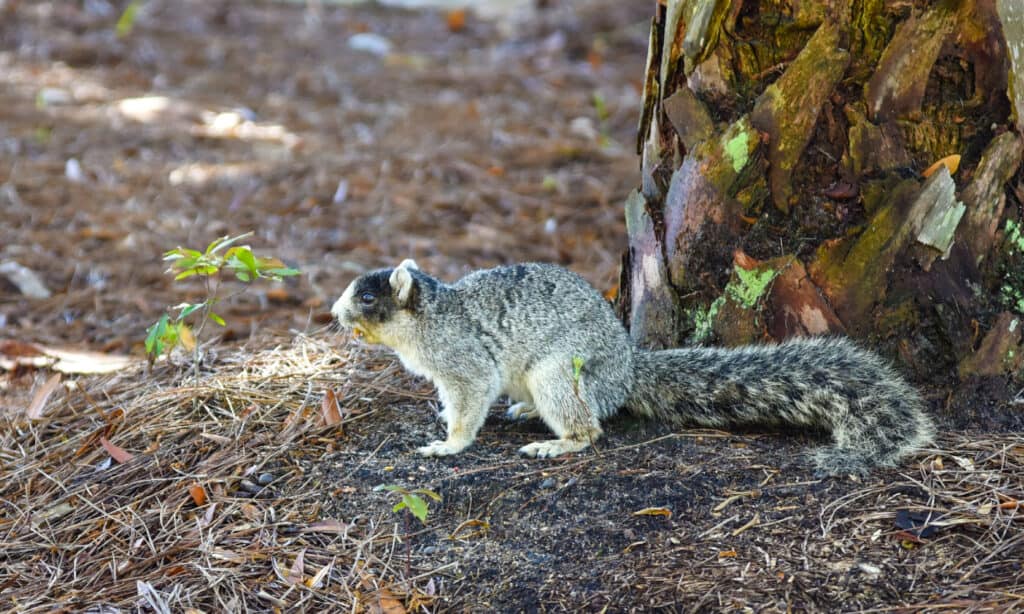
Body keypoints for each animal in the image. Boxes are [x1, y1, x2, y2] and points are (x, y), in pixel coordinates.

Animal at [329, 258, 937, 474]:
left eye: (368, 298)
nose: (333, 313)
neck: (431, 318)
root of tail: (624, 372)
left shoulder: (464, 363)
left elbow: (468, 402)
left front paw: (448, 444)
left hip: (560, 375)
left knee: (589, 428)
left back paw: (556, 443)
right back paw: (525, 412)